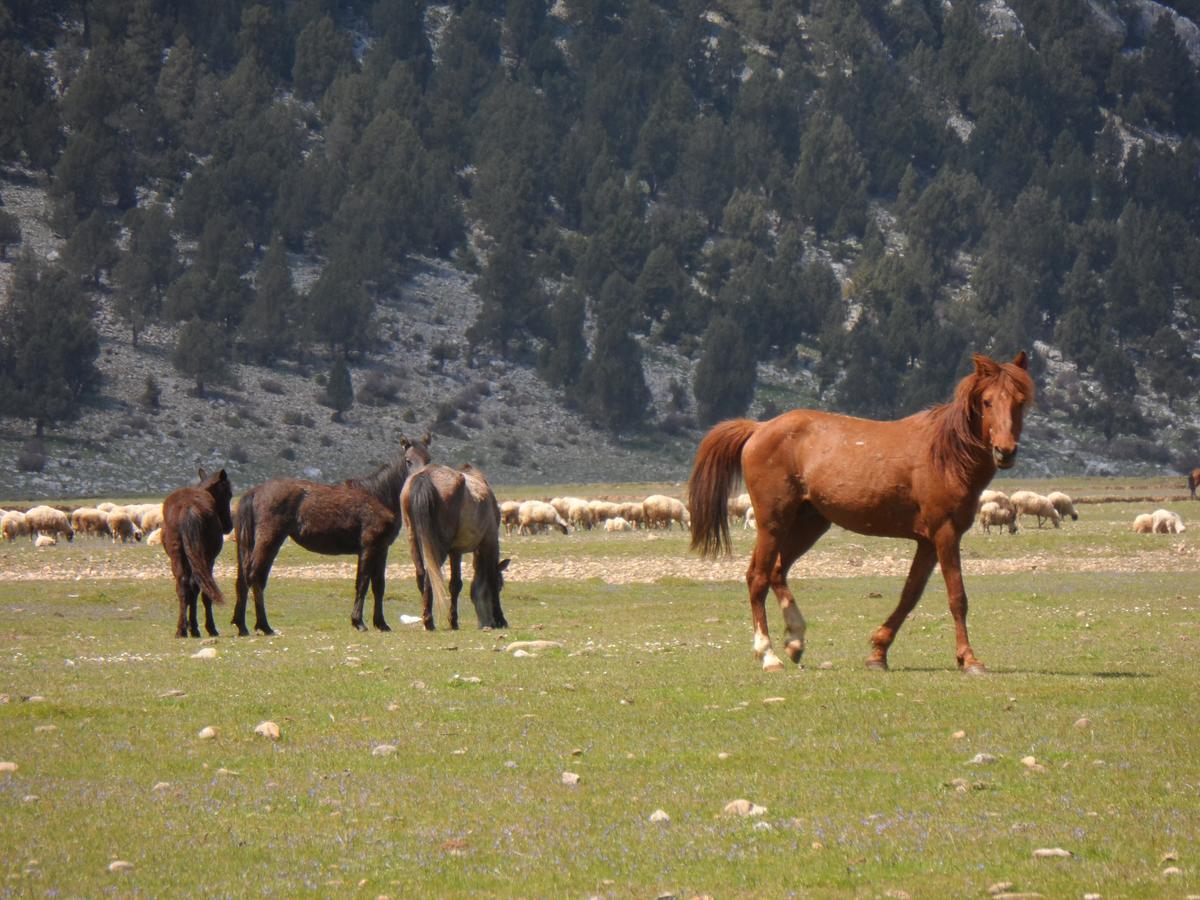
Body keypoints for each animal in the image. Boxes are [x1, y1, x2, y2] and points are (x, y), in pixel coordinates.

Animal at [160, 468, 232, 638]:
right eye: (229, 494)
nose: (229, 525)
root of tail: (188, 507)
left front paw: (190, 627)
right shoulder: (209, 560)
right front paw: (207, 628)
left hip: (178, 557)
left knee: (183, 586)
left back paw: (181, 630)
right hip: (205, 558)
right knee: (200, 587)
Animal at [229, 434, 432, 633]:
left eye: (428, 459)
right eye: (408, 460)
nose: (419, 481)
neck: (379, 496)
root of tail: (255, 492)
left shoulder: (382, 549)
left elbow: (379, 585)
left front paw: (381, 624)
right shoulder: (368, 547)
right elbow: (362, 583)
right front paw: (358, 622)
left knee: (244, 580)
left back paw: (242, 625)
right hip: (269, 541)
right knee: (256, 577)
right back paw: (264, 626)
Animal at [403, 465, 506, 633]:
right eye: (500, 586)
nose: (486, 623)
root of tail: (425, 476)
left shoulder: (455, 551)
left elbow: (455, 584)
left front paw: (453, 621)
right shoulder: (490, 542)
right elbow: (490, 578)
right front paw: (500, 618)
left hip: (414, 539)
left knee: (420, 574)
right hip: (438, 547)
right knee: (430, 575)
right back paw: (429, 621)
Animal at [691, 352, 1036, 676]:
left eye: (1020, 402)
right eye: (987, 401)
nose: (1005, 451)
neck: (946, 456)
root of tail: (759, 428)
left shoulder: (927, 542)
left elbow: (910, 594)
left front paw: (878, 653)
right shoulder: (945, 533)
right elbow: (957, 597)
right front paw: (969, 659)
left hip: (809, 524)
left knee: (777, 572)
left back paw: (795, 640)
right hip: (772, 523)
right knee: (758, 577)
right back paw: (769, 655)